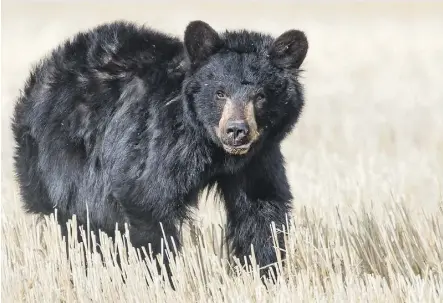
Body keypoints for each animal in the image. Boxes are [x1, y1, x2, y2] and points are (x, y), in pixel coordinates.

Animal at [11, 20, 308, 282]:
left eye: (260, 96)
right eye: (220, 93)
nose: (236, 130)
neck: (209, 146)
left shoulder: (259, 156)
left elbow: (262, 208)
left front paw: (266, 275)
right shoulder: (157, 142)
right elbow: (146, 199)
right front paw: (162, 276)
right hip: (62, 161)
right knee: (86, 220)